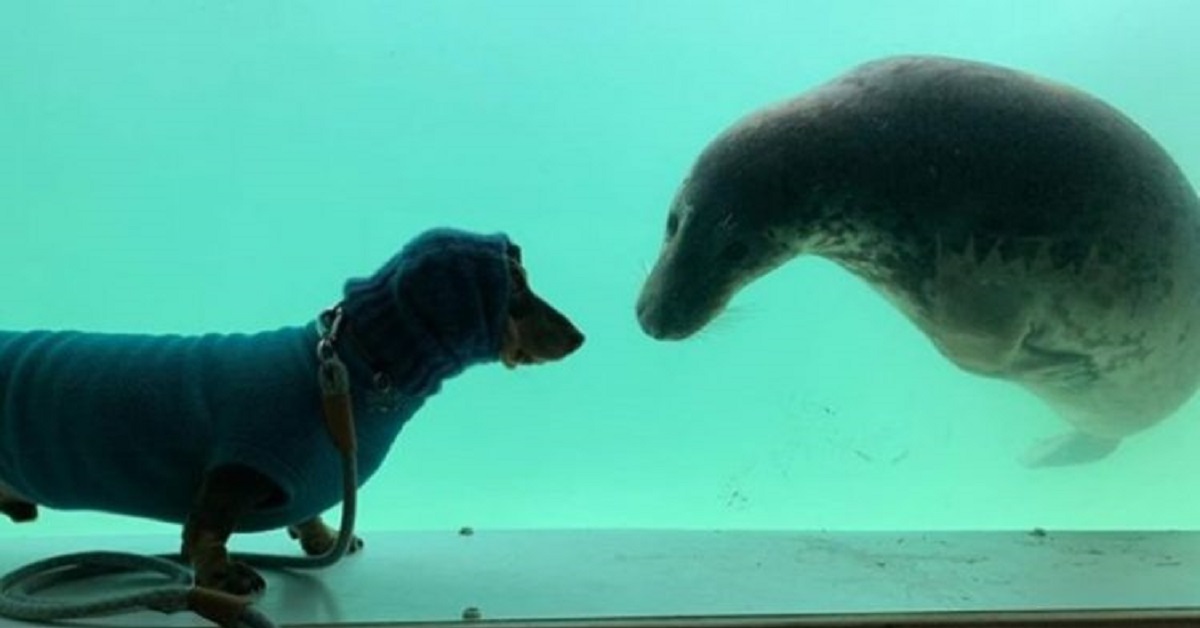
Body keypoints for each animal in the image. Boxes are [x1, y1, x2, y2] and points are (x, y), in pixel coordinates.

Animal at [0, 229, 583, 595]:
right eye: (517, 291)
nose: (581, 336)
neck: (349, 366)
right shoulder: (235, 470)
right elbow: (205, 529)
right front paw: (224, 576)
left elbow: (307, 515)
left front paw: (323, 538)